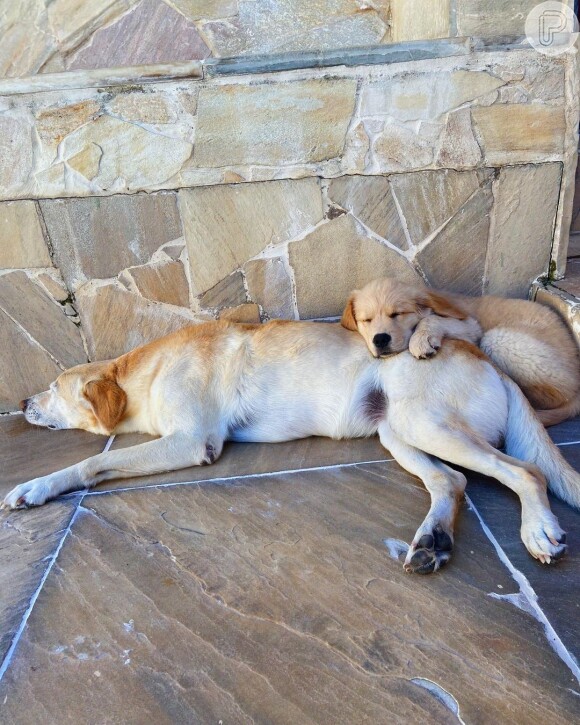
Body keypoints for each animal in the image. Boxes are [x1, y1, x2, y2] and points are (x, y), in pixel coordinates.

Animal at [2, 320, 576, 576]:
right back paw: (433, 540)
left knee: (526, 472)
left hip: (424, 423)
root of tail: (488, 360)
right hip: (398, 430)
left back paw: (538, 530)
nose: (24, 399)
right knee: (451, 481)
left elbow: (95, 459)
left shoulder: (189, 441)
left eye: (53, 386)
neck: (145, 371)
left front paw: (36, 485)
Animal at [340, 276, 580, 424]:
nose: (380, 340)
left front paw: (422, 339)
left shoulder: (471, 326)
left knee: (552, 394)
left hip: (499, 339)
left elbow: (431, 319)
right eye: (366, 320)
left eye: (397, 314)